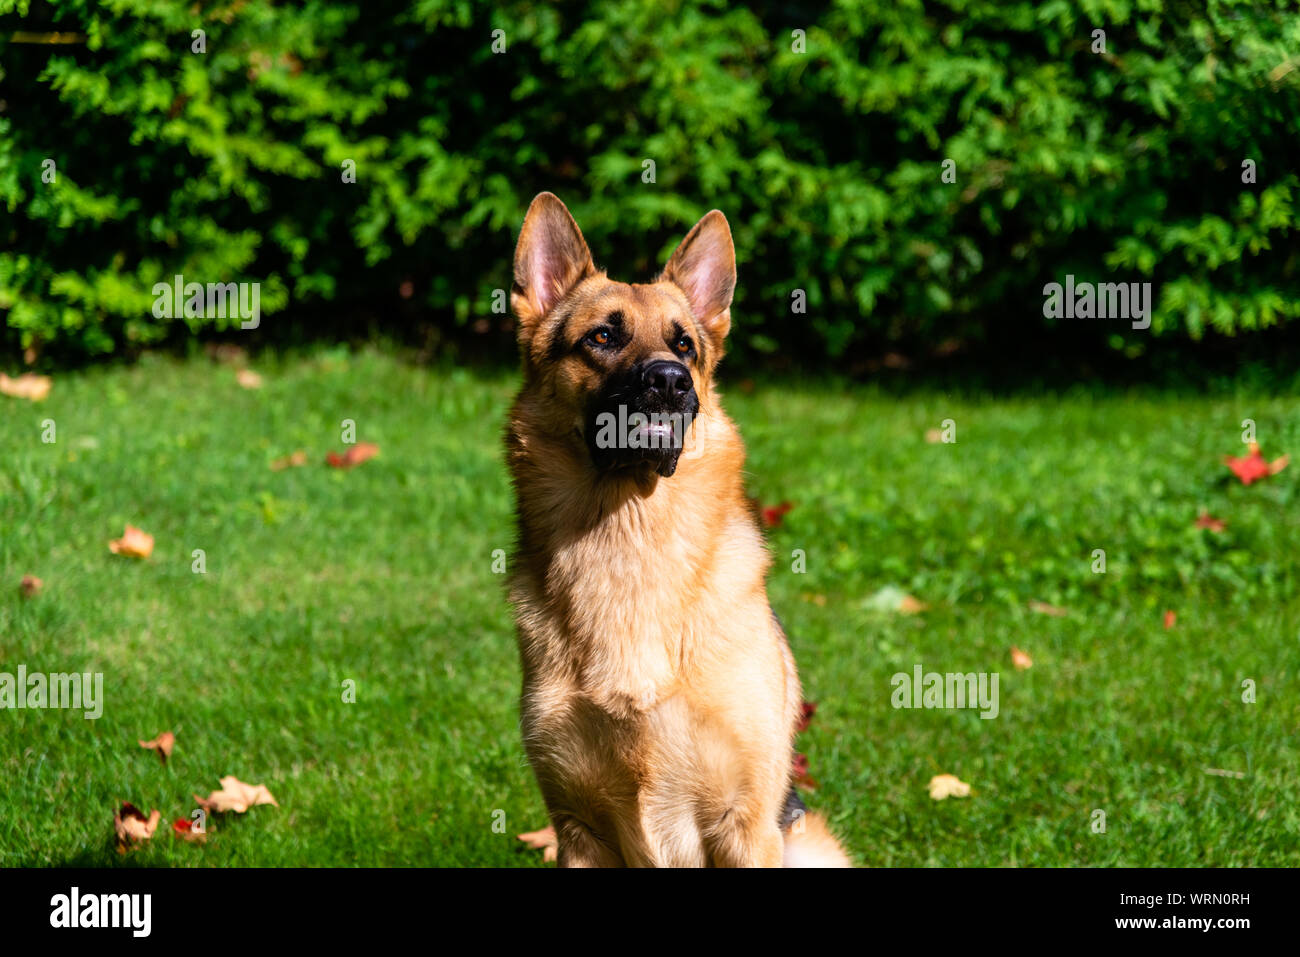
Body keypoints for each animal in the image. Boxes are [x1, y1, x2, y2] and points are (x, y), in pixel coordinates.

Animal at [504, 195, 852, 868]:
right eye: (602, 337)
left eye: (684, 345)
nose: (669, 381)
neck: (628, 534)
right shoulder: (577, 831)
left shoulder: (743, 824)